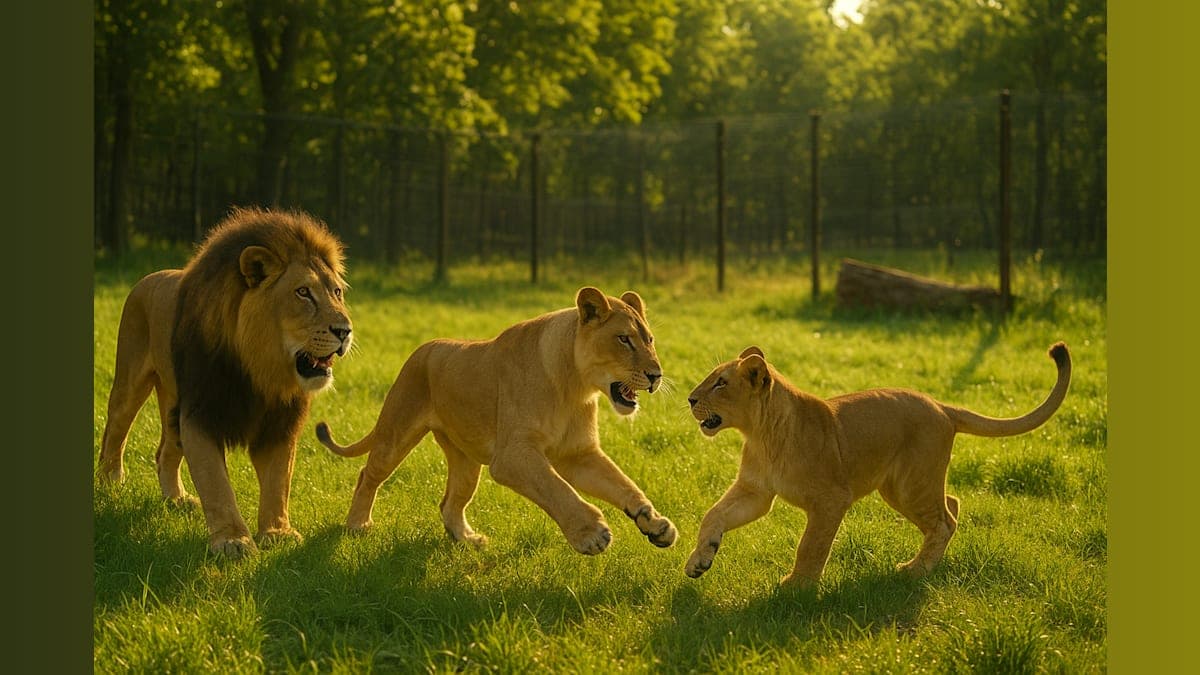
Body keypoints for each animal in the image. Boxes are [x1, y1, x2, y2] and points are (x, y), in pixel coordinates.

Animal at [97, 207, 353, 557]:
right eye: (303, 292)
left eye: (337, 292)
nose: (345, 331)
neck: (261, 371)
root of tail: (150, 276)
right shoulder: (201, 412)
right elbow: (216, 483)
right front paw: (233, 541)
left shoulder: (279, 423)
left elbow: (278, 482)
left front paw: (277, 532)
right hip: (131, 382)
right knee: (115, 432)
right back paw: (110, 485)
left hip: (173, 406)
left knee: (164, 453)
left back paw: (176, 500)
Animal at [315, 287, 678, 555]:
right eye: (624, 339)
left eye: (649, 340)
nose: (656, 375)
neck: (575, 386)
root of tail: (423, 349)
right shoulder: (512, 455)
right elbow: (556, 487)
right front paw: (591, 533)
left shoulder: (578, 454)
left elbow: (623, 483)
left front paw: (654, 522)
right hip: (396, 432)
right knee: (368, 475)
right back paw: (357, 525)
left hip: (465, 460)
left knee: (450, 502)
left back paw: (469, 540)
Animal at [684, 342, 1071, 588]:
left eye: (720, 383)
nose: (689, 399)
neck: (760, 433)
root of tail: (942, 406)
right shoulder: (756, 491)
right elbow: (713, 515)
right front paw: (699, 561)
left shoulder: (831, 499)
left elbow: (811, 544)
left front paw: (797, 586)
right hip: (901, 488)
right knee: (952, 505)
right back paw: (930, 565)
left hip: (910, 485)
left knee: (944, 521)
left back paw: (915, 571)